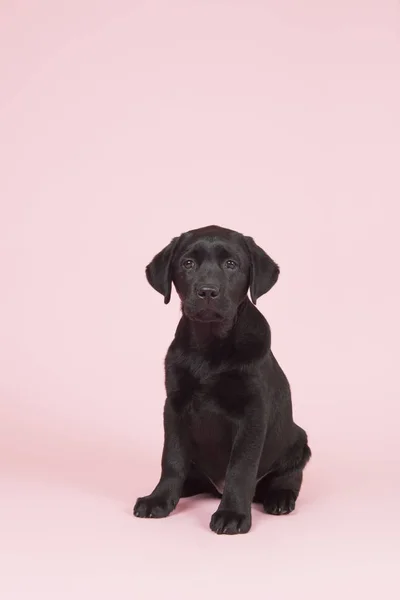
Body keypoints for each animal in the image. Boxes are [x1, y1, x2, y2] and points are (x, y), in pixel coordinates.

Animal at [133, 225, 310, 536]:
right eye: (187, 263)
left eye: (231, 264)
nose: (207, 291)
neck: (211, 344)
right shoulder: (174, 405)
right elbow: (172, 459)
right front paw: (160, 498)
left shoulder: (253, 413)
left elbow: (241, 466)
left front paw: (232, 514)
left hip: (299, 440)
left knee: (289, 476)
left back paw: (279, 498)